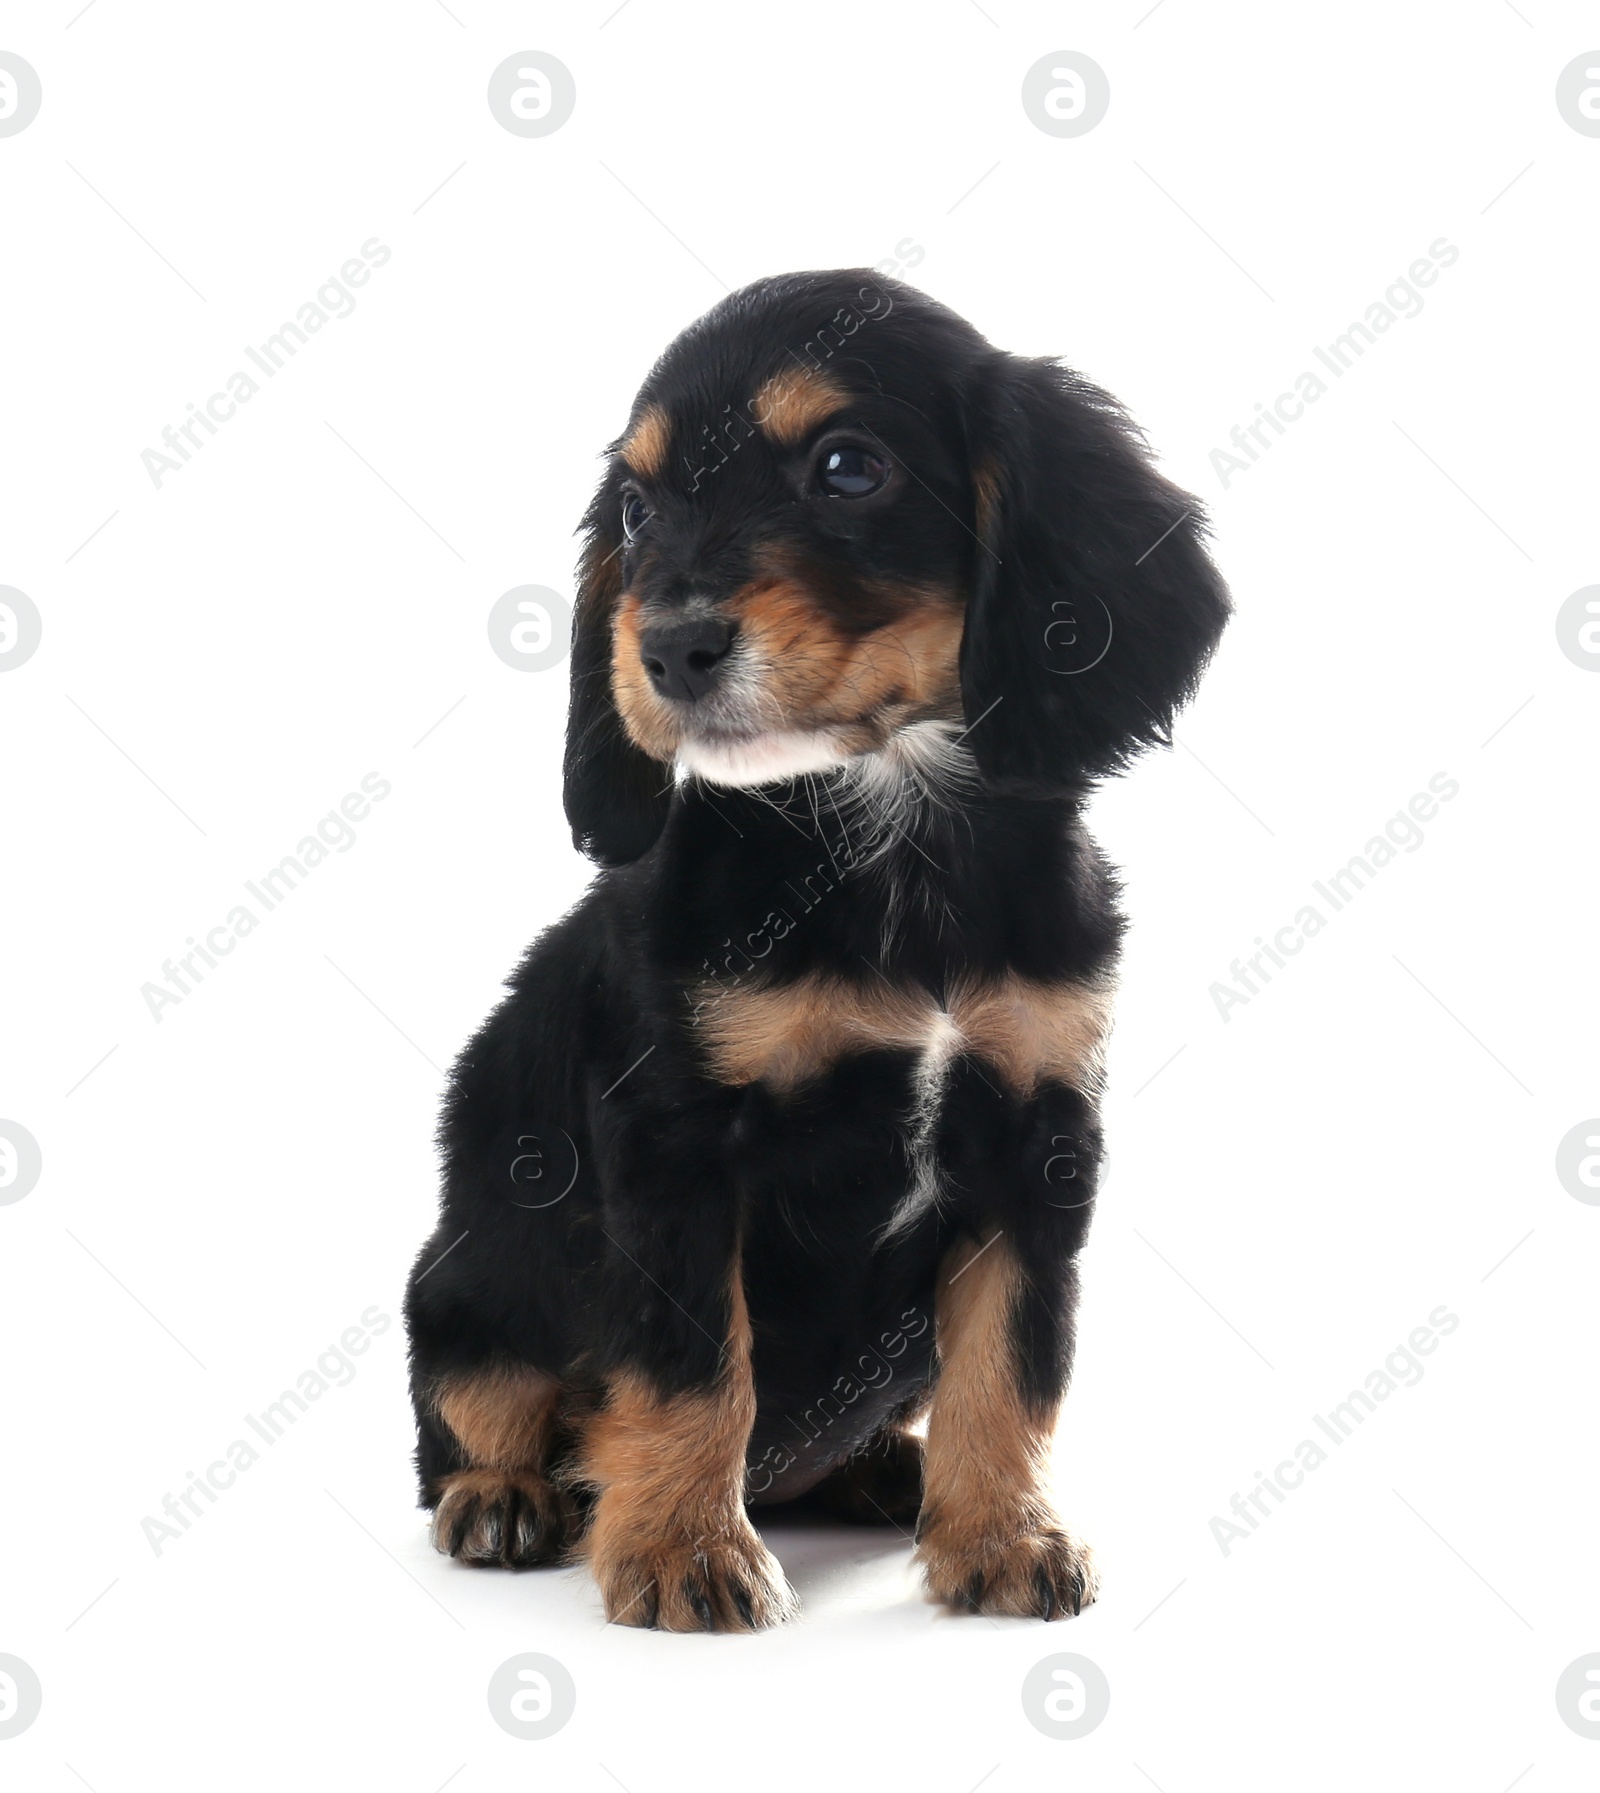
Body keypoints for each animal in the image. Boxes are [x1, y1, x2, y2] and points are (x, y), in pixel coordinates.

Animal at [405, 265, 1234, 1628]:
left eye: (849, 468)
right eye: (636, 508)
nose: (666, 649)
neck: (887, 829)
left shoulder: (1041, 1133)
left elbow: (1012, 1359)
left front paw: (1002, 1532)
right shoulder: (675, 1143)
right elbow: (694, 1364)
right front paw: (683, 1549)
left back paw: (886, 1468)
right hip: (465, 1273)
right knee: (476, 1405)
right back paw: (510, 1494)